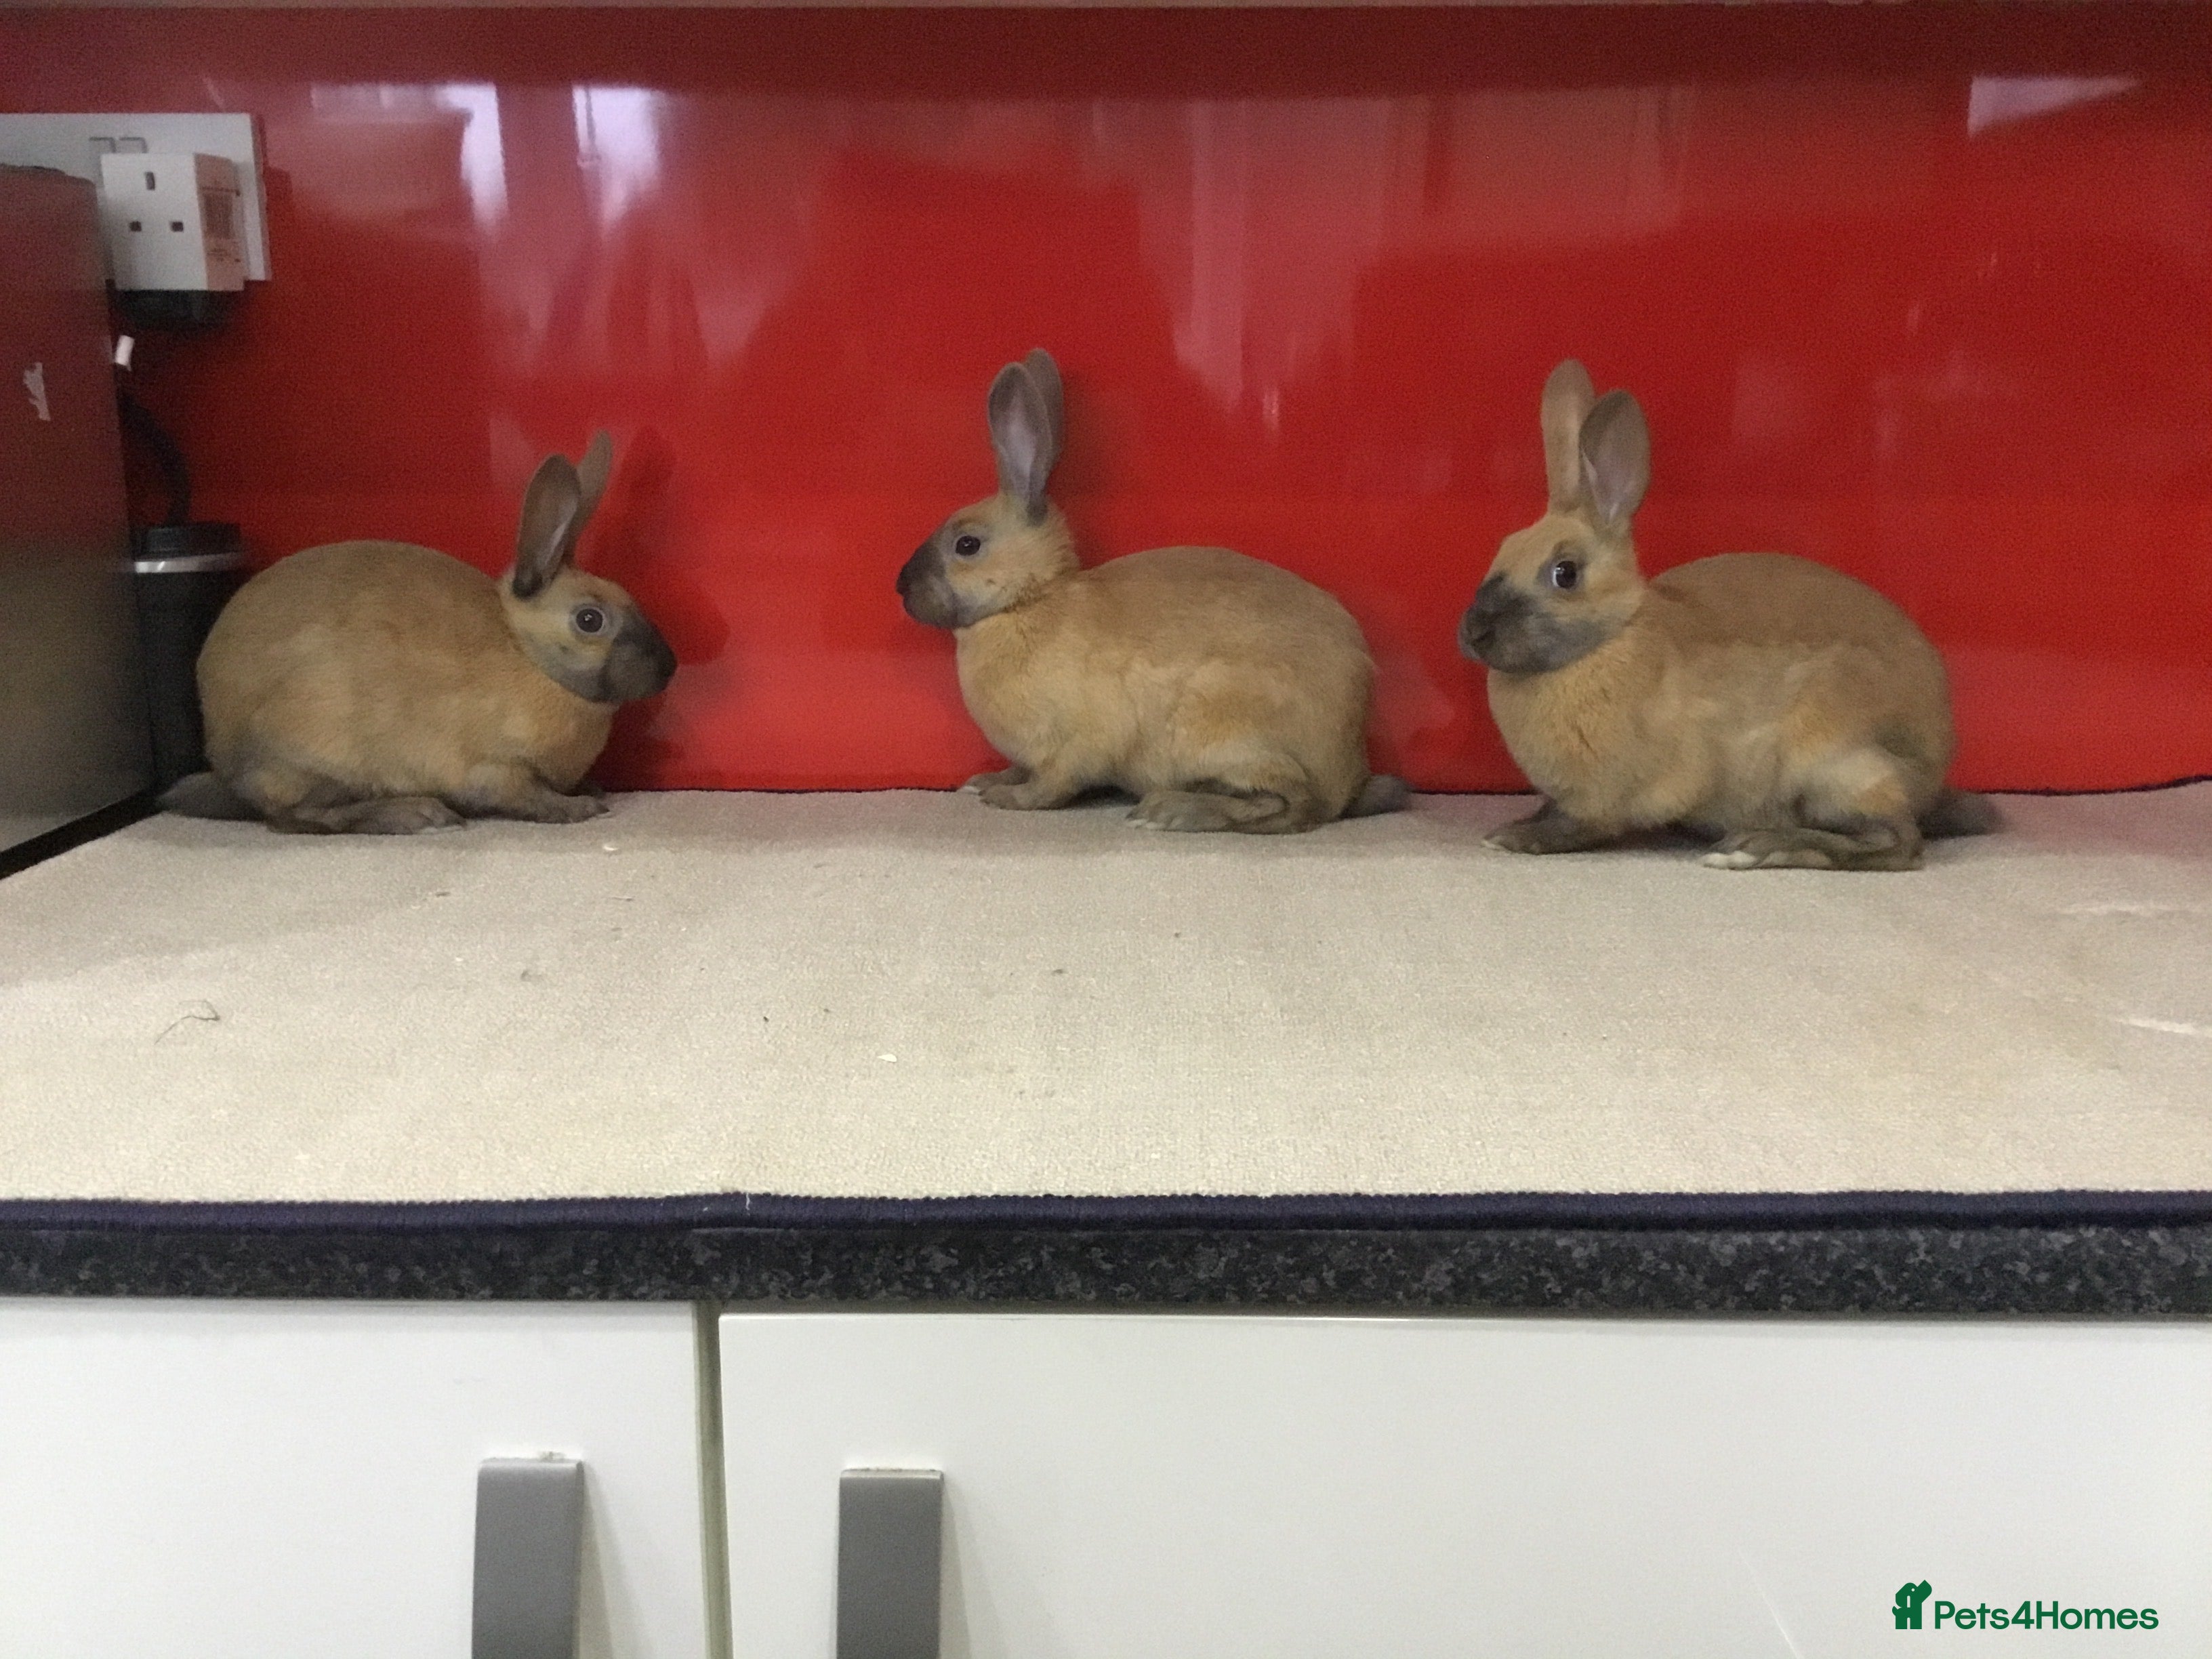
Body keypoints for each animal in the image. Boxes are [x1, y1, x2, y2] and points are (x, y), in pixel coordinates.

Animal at [161, 432, 676, 835]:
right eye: (590, 620)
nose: (668, 668)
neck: (527, 655)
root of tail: (225, 760)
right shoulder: (497, 768)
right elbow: (526, 795)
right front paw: (580, 807)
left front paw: (591, 788)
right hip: (312, 757)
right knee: (299, 816)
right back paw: (416, 815)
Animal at [896, 349, 1406, 834]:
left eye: (967, 545)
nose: (901, 585)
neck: (1029, 601)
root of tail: (1347, 767)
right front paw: (986, 781)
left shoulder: (1075, 747)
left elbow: (1051, 786)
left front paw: (1005, 798)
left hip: (1223, 731)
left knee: (1295, 805)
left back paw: (1168, 812)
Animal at [1457, 360, 1996, 871]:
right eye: (1503, 548)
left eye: (1565, 573)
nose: (1473, 632)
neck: (1612, 638)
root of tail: (1934, 763)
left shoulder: (1609, 797)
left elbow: (1579, 824)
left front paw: (1514, 838)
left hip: (1838, 761)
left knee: (1897, 842)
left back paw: (1754, 848)